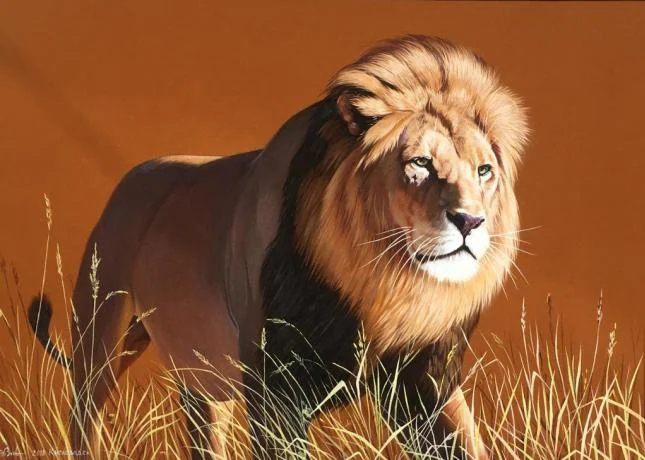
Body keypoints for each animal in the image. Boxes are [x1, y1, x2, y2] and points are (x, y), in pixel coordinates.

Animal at [29, 35, 528, 459]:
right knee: (85, 419)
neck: (382, 284)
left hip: (200, 376)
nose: (471, 221)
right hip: (100, 337)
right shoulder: (275, 388)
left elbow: (464, 442)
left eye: (484, 171)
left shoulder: (424, 382)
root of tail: (130, 179)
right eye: (420, 163)